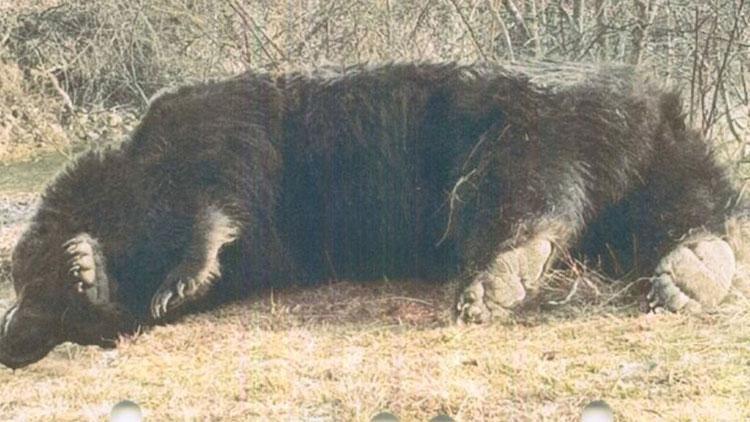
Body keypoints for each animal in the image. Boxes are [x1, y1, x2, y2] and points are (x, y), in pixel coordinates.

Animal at [2, 61, 748, 368]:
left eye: (25, 286)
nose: (11, 340)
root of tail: (653, 108)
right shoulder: (274, 245)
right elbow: (216, 265)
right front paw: (96, 273)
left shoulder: (212, 129)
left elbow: (221, 194)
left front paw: (105, 266)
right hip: (654, 150)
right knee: (676, 202)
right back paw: (691, 271)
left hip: (542, 114)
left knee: (527, 179)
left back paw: (496, 279)